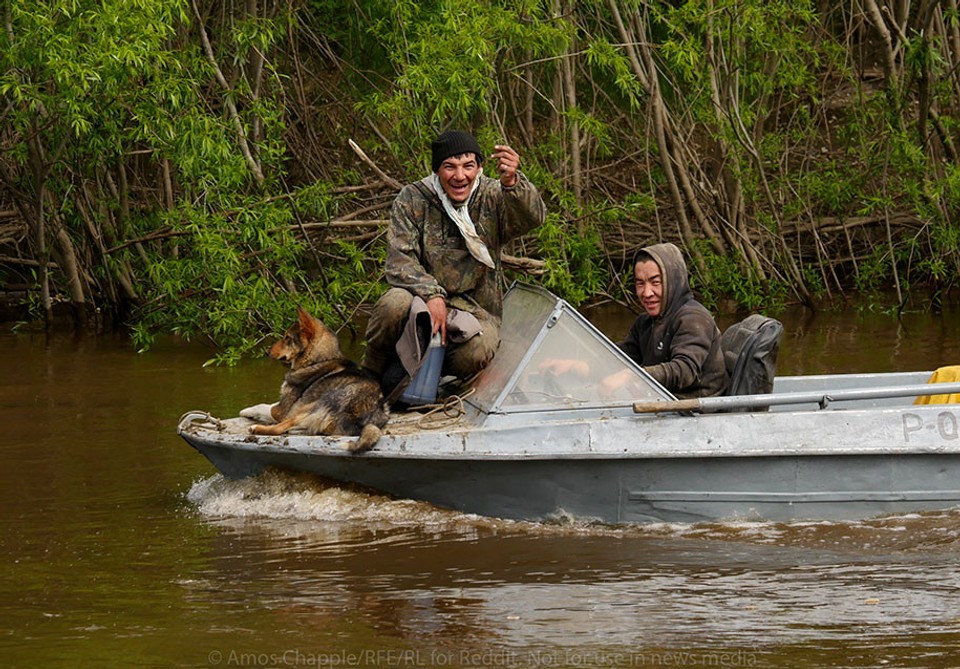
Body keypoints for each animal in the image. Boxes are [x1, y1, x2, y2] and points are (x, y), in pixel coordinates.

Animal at [253, 308, 392, 454]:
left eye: (287, 337)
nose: (267, 352)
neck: (319, 360)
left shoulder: (281, 411)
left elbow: (262, 407)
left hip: (311, 407)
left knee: (279, 428)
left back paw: (256, 428)